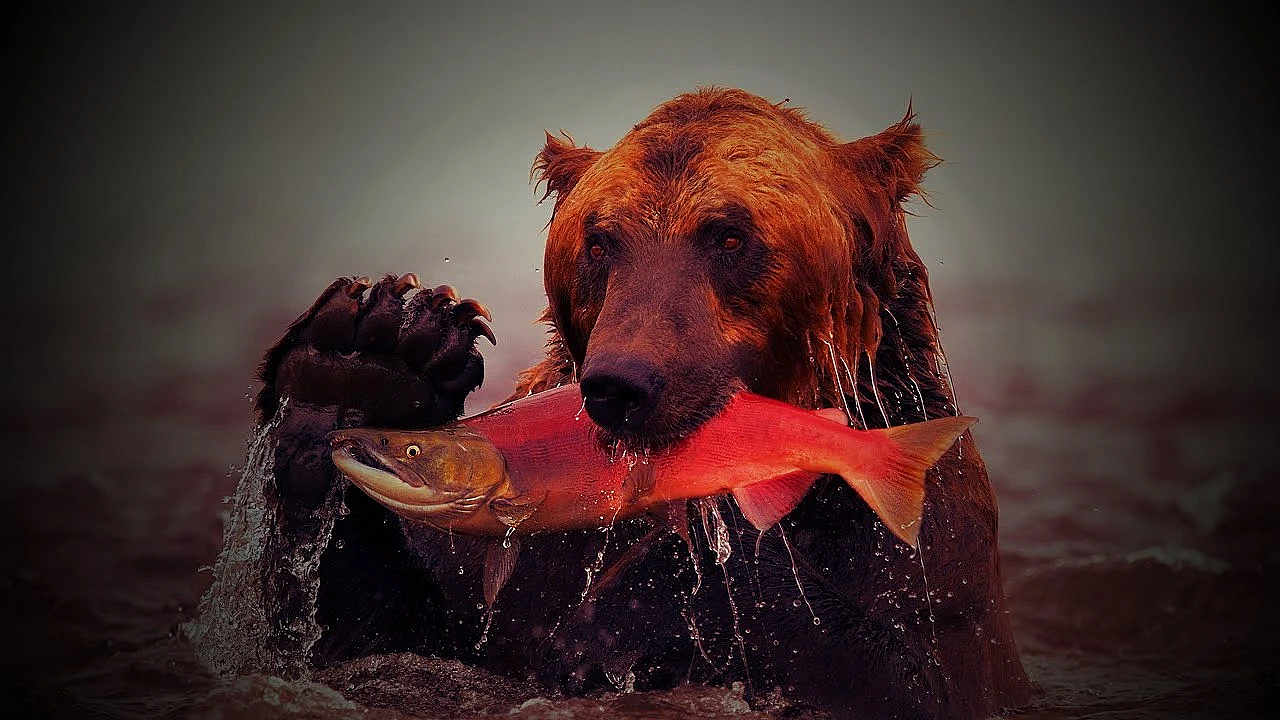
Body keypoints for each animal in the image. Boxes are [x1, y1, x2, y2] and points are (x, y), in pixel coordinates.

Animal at [244, 88, 1032, 719]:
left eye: (730, 234)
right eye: (600, 241)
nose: (621, 383)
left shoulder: (925, 569)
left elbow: (890, 665)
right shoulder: (510, 574)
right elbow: (373, 639)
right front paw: (370, 353)